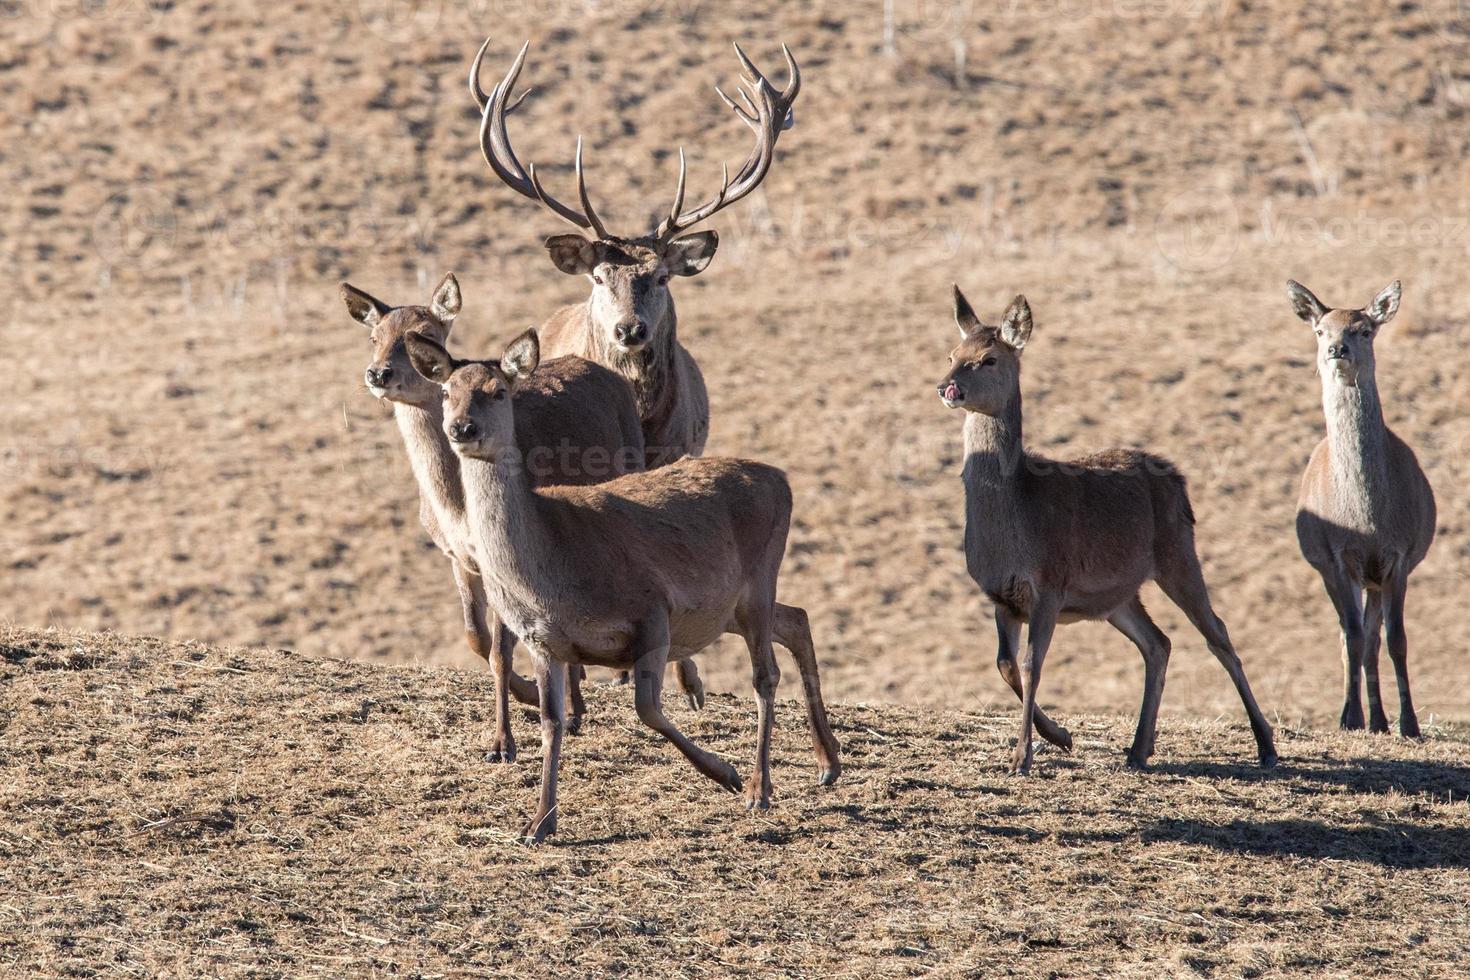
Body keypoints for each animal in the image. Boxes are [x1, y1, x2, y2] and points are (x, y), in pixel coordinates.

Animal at [341, 271, 702, 764]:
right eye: (373, 337)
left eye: (426, 332)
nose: (379, 373)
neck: (453, 507)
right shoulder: (456, 556)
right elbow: (476, 637)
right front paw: (532, 696)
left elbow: (500, 649)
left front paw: (502, 743)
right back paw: (576, 706)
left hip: (632, 466)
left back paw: (686, 688)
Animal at [408, 329, 840, 846]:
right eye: (447, 392)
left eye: (497, 391)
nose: (462, 429)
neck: (552, 573)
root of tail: (782, 479)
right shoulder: (543, 642)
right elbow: (552, 722)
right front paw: (539, 823)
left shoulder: (651, 609)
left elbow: (646, 708)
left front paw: (725, 773)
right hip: (730, 609)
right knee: (797, 618)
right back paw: (829, 762)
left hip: (760, 578)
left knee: (765, 675)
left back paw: (760, 787)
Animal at [940, 287, 1275, 775]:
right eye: (951, 354)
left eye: (988, 359)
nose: (947, 387)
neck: (1017, 521)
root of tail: (1179, 479)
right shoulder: (1001, 596)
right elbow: (1005, 664)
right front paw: (1060, 736)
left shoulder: (1050, 584)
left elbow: (1031, 665)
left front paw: (1023, 756)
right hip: (1118, 596)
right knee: (1159, 643)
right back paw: (1139, 748)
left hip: (1178, 553)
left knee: (1218, 634)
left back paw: (1266, 745)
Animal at [1287, 277, 1434, 734]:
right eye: (1320, 330)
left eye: (1364, 330)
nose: (1337, 350)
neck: (1366, 519)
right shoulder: (1337, 555)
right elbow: (1350, 636)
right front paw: (1349, 718)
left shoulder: (1399, 555)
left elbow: (1396, 639)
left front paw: (1409, 724)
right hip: (1332, 570)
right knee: (1348, 636)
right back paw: (1363, 715)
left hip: (1376, 578)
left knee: (1373, 639)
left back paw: (1381, 721)